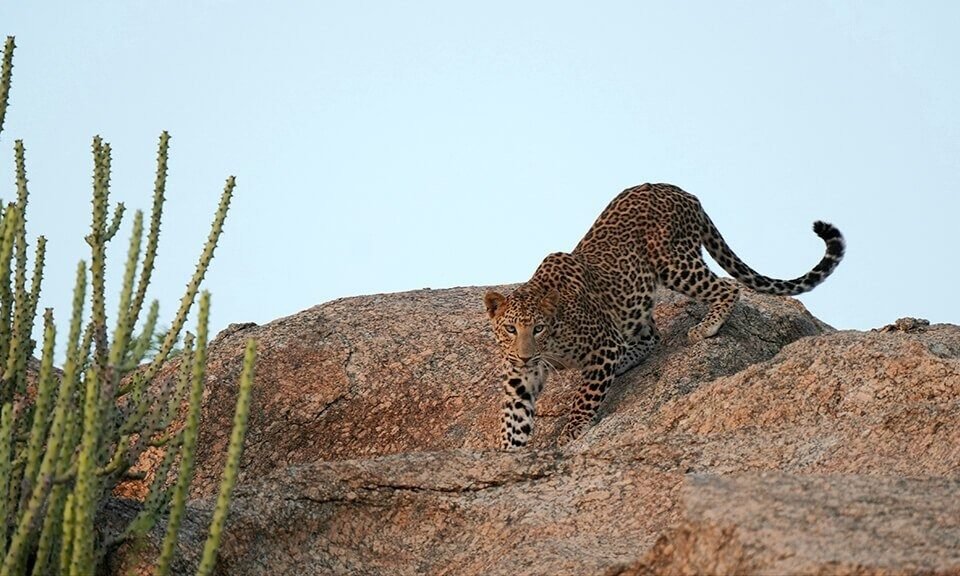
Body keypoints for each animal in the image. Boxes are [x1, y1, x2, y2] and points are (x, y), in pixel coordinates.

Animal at [484, 183, 845, 450]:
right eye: (511, 328)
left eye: (539, 328)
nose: (525, 354)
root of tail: (682, 192)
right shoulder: (520, 377)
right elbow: (513, 417)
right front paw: (506, 452)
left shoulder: (603, 346)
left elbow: (586, 396)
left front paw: (573, 428)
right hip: (639, 298)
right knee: (651, 335)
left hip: (673, 262)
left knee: (727, 287)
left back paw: (705, 327)